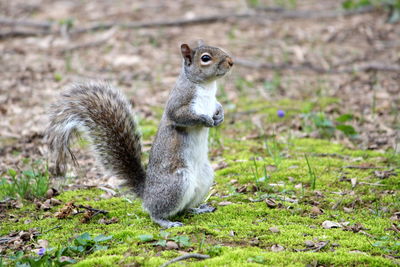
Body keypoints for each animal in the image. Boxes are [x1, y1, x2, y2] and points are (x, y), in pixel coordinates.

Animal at [46, 41, 234, 228]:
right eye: (205, 58)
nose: (231, 62)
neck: (207, 87)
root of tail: (146, 193)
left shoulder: (213, 101)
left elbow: (218, 106)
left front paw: (220, 116)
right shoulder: (179, 101)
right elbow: (180, 116)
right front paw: (205, 120)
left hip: (205, 176)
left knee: (185, 207)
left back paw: (198, 209)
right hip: (178, 183)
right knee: (155, 211)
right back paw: (166, 222)